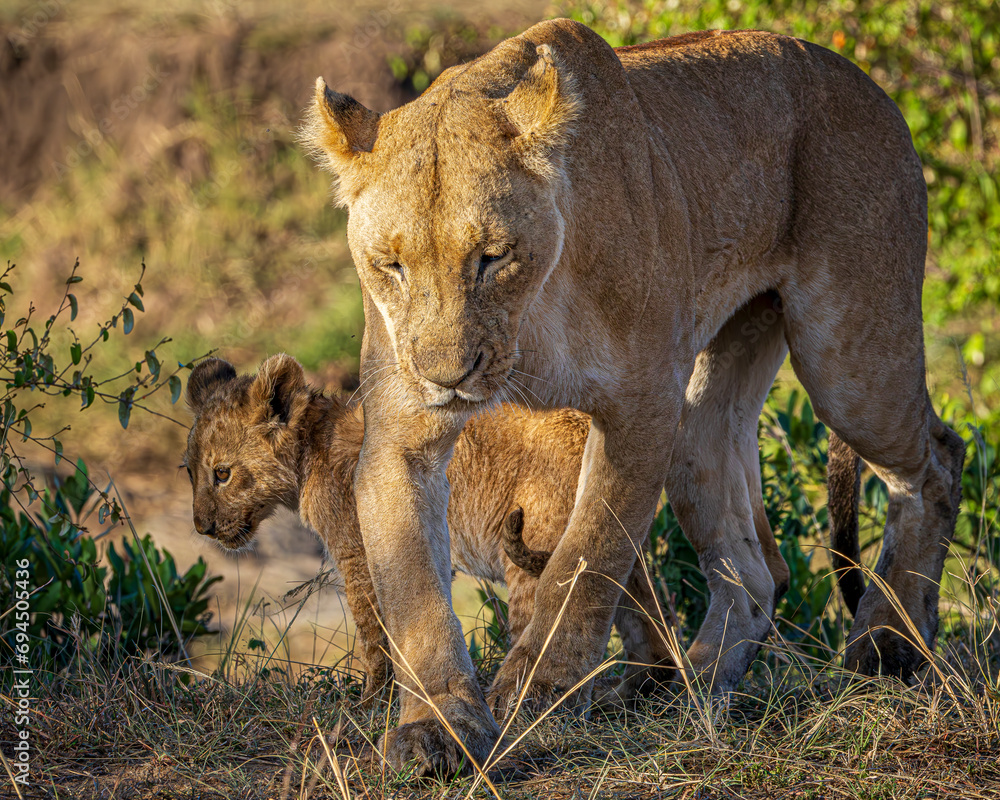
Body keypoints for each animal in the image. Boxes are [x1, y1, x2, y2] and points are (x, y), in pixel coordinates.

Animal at [183, 354, 675, 703]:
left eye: (222, 473)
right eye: (190, 471)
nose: (202, 528)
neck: (310, 450)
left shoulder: (359, 553)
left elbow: (376, 633)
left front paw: (370, 703)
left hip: (532, 547)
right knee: (645, 614)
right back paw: (641, 691)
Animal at [302, 20, 966, 774]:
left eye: (493, 257)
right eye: (391, 265)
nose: (446, 376)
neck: (531, 319)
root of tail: (870, 85)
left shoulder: (642, 409)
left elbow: (585, 561)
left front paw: (534, 695)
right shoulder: (401, 432)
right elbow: (414, 592)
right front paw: (438, 728)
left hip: (848, 361)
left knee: (938, 459)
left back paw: (886, 646)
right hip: (708, 409)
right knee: (755, 570)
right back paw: (694, 690)